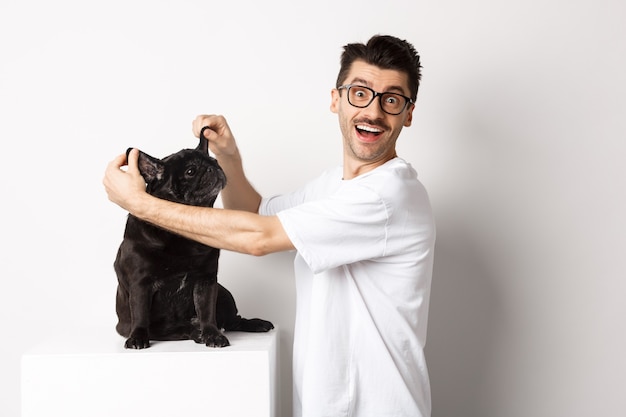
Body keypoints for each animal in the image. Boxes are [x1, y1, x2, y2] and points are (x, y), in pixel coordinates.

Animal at [112, 132, 272, 348]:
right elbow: (140, 312)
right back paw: (193, 332)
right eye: (190, 171)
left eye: (215, 161)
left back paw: (251, 324)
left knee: (232, 320)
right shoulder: (140, 283)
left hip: (223, 293)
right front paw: (138, 337)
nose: (213, 167)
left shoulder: (206, 280)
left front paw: (212, 334)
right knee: (169, 329)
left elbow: (206, 311)